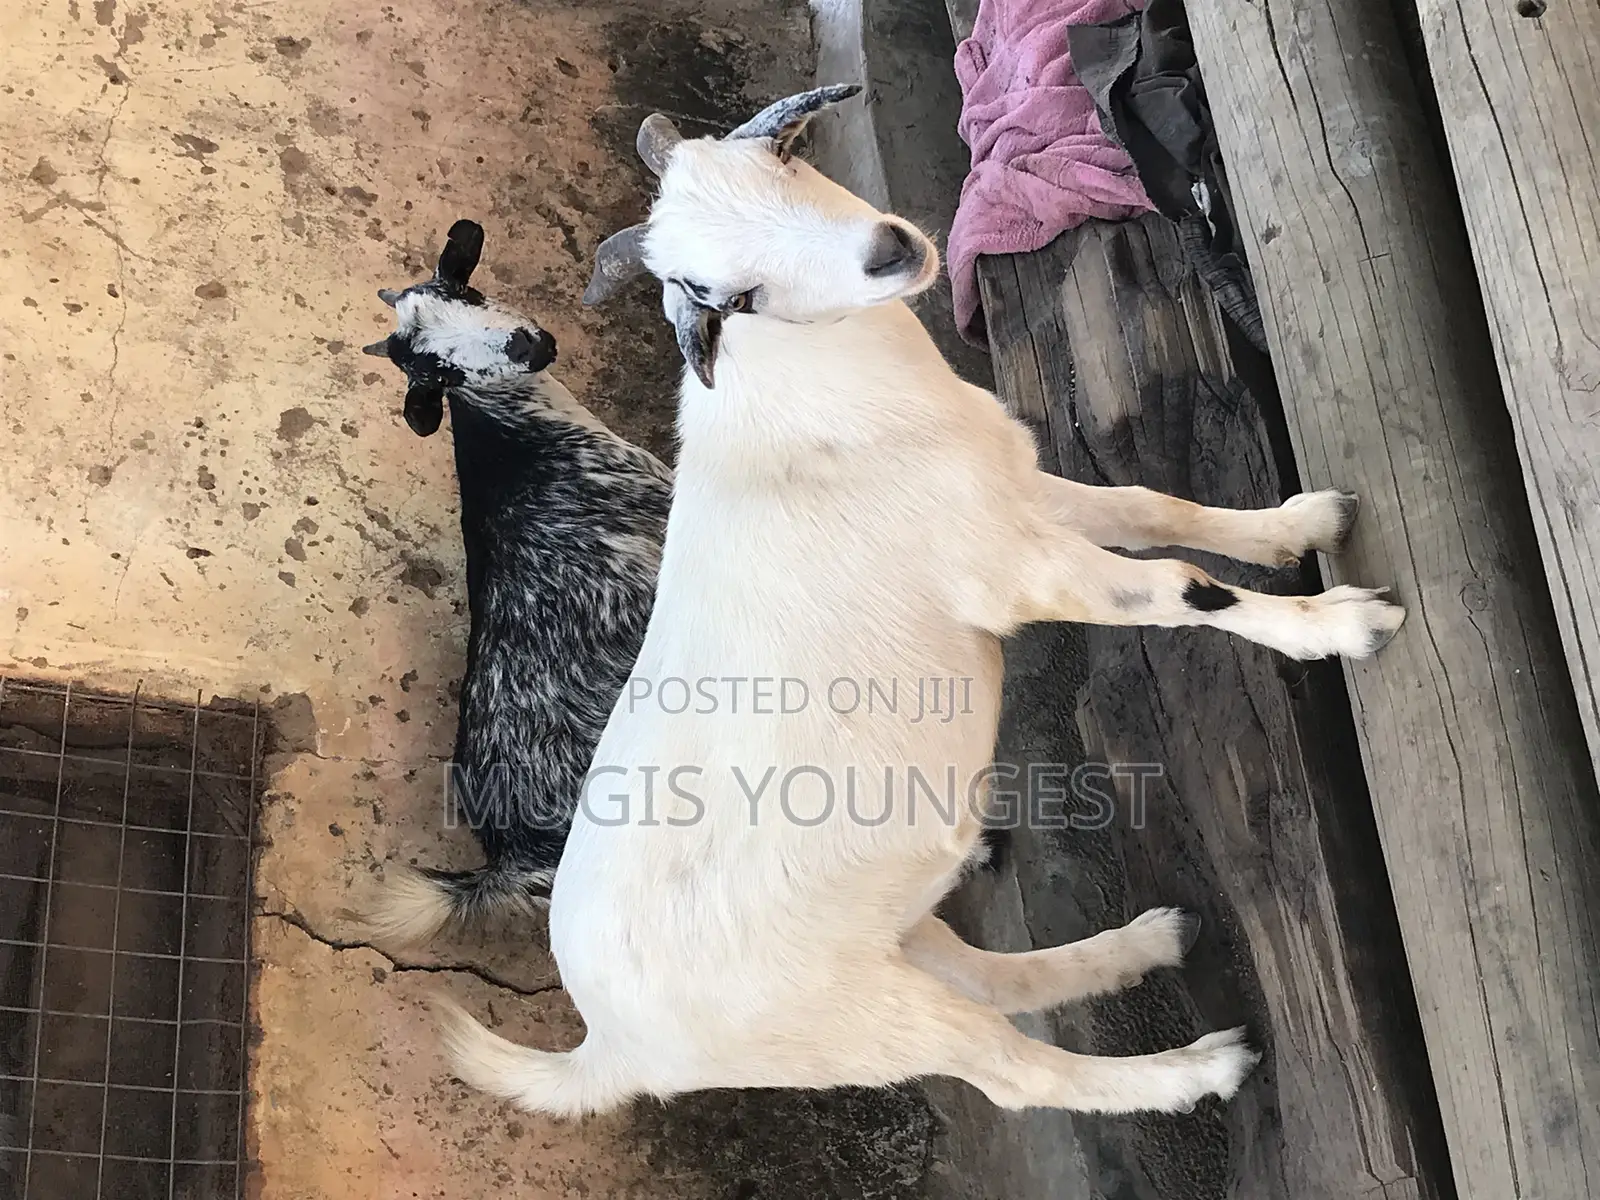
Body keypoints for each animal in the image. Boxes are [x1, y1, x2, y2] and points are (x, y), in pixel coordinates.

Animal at [433, 88, 1405, 1118]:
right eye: (732, 296)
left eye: (780, 158)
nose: (889, 251)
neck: (812, 408)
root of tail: (608, 1051)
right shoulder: (1012, 568)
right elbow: (1182, 588)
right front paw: (1346, 624)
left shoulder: (1013, 492)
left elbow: (1152, 507)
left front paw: (1301, 524)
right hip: (846, 1023)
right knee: (1014, 1071)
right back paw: (1198, 1068)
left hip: (887, 930)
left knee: (993, 978)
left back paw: (1148, 943)